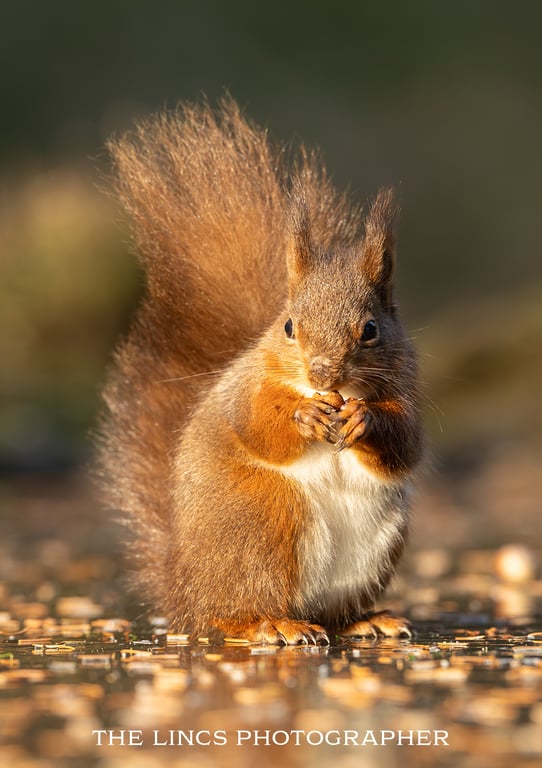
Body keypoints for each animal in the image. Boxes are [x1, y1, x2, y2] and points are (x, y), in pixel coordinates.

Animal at [97, 98, 424, 645]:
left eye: (371, 329)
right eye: (289, 325)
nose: (322, 374)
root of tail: (183, 590)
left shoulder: (409, 393)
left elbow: (405, 444)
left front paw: (365, 420)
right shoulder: (248, 389)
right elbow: (256, 425)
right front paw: (302, 418)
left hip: (375, 545)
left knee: (332, 615)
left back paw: (367, 620)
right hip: (267, 519)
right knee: (230, 613)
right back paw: (269, 624)